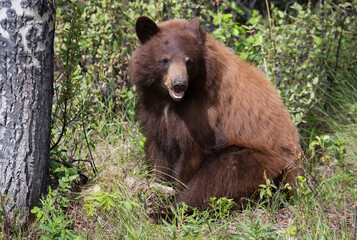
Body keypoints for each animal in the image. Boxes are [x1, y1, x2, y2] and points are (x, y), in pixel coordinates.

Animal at [129, 16, 300, 210]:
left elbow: (192, 154)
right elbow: (158, 153)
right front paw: (157, 188)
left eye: (189, 61)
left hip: (262, 163)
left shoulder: (203, 115)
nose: (179, 84)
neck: (171, 100)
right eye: (165, 60)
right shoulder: (155, 113)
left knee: (218, 178)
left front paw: (176, 198)